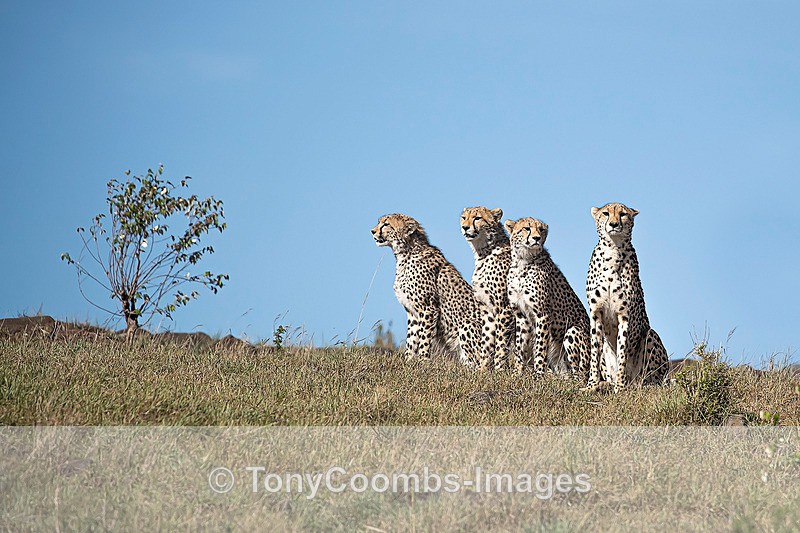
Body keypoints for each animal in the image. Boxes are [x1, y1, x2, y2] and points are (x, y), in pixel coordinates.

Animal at [372, 213, 481, 364]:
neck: (405, 254)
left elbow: (424, 338)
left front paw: (423, 362)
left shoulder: (428, 308)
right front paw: (408, 362)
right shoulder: (412, 311)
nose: (372, 231)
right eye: (379, 222)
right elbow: (412, 339)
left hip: (467, 324)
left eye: (386, 224)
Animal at [460, 207, 516, 371]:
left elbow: (501, 342)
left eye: (477, 218)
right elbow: (488, 340)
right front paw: (484, 370)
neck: (483, 253)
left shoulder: (505, 307)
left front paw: (499, 370)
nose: (465, 227)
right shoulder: (487, 308)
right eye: (463, 217)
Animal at [505, 217, 590, 379]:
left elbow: (540, 347)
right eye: (527, 228)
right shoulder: (521, 315)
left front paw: (538, 375)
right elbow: (520, 347)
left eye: (541, 229)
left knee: (580, 375)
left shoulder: (542, 314)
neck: (522, 261)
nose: (537, 238)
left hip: (572, 332)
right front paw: (517, 373)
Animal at [585, 202, 669, 393]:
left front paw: (620, 387)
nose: (614, 224)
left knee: (654, 382)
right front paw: (591, 385)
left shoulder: (625, 316)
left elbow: (622, 352)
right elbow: (594, 352)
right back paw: (605, 384)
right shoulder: (596, 314)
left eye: (622, 214)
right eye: (606, 213)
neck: (612, 249)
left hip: (650, 336)